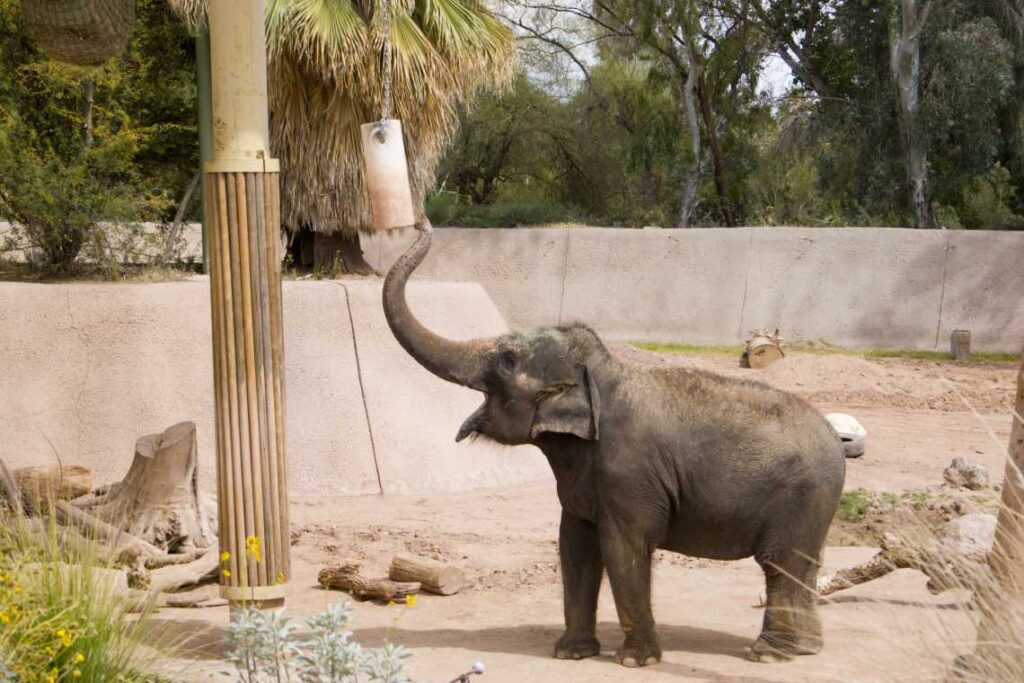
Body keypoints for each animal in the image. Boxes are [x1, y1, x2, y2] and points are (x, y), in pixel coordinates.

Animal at [380, 220, 843, 667]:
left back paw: (770, 653)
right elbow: (574, 544)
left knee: (781, 564)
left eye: (507, 360)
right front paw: (571, 652)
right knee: (806, 565)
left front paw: (636, 661)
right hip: (814, 507)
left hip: (801, 499)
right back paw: (808, 649)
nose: (421, 222)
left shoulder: (629, 474)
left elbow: (624, 548)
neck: (603, 378)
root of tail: (836, 441)